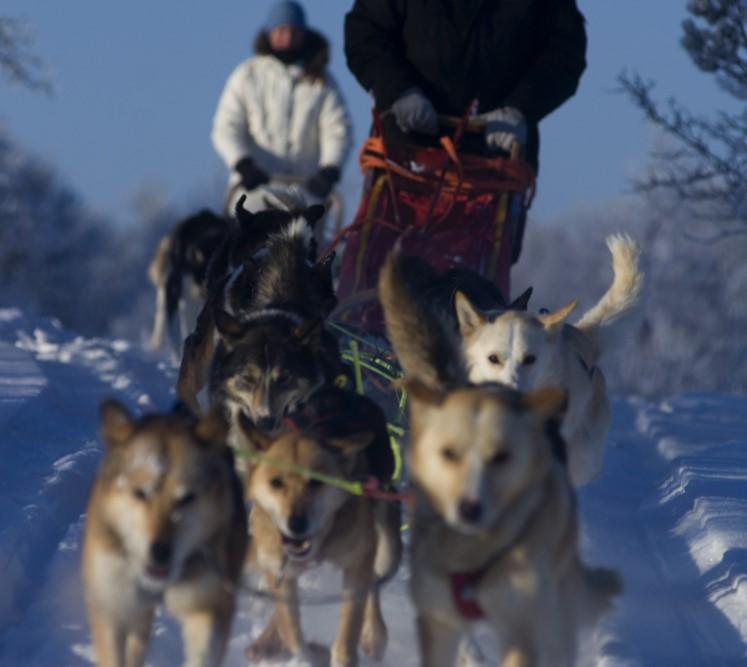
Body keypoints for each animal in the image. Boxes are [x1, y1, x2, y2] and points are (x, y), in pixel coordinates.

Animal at [240, 412, 404, 667]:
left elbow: (348, 630)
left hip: (387, 548)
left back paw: (375, 635)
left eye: (316, 482)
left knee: (375, 582)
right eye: (276, 482)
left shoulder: (358, 560)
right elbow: (293, 635)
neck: (321, 543)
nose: (296, 523)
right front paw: (314, 652)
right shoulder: (277, 567)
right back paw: (266, 642)